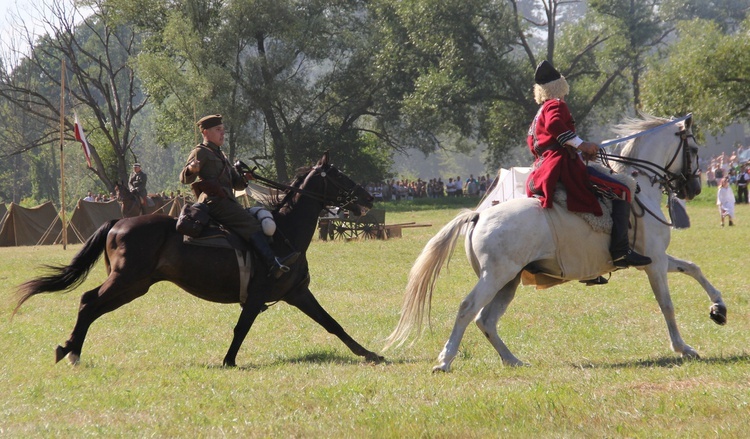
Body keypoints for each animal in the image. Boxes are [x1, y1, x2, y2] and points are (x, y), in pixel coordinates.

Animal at [14, 153, 384, 366]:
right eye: (340, 176)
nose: (368, 198)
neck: (283, 233)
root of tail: (117, 222)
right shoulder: (257, 297)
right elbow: (241, 328)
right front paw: (229, 361)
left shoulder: (298, 293)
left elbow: (332, 323)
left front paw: (369, 353)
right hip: (126, 281)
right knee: (89, 302)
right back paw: (71, 351)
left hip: (133, 286)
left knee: (91, 305)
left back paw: (72, 350)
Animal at [388, 113, 728, 372]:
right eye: (693, 148)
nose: (694, 188)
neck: (640, 187)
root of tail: (478, 214)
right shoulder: (654, 262)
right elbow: (667, 305)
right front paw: (683, 347)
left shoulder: (656, 258)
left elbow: (693, 268)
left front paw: (718, 309)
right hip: (494, 277)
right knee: (468, 309)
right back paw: (445, 361)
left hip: (509, 281)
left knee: (487, 320)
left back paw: (513, 360)